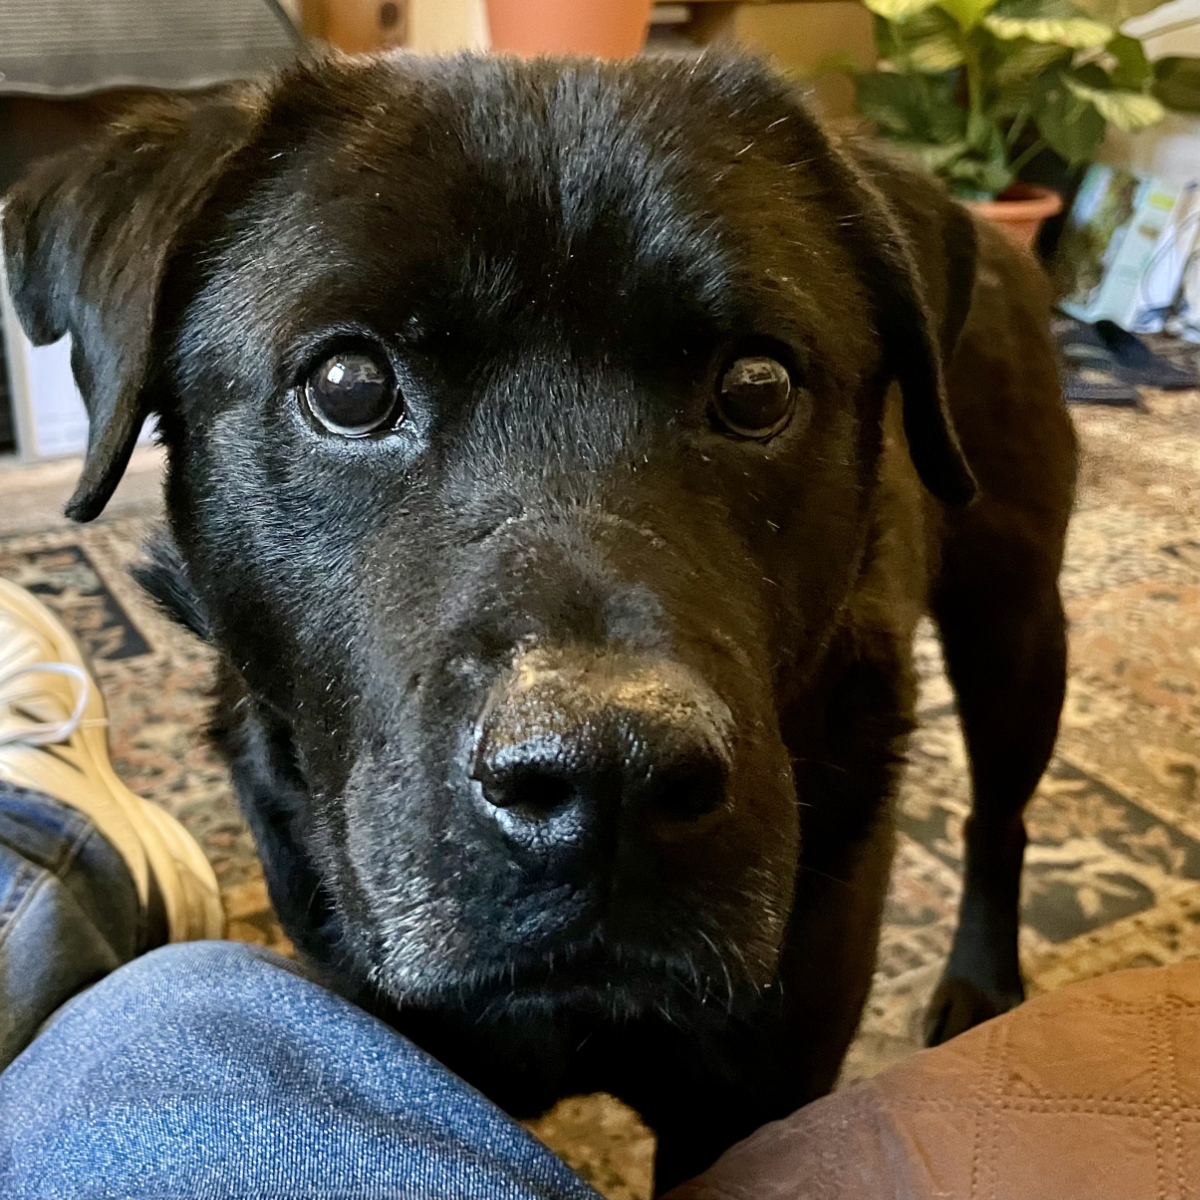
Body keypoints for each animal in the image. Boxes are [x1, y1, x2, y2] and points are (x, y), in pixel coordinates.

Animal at [4, 49, 1080, 1190]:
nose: (611, 777)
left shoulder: (751, 1098)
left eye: (758, 384)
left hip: (1017, 628)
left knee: (997, 818)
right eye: (347, 383)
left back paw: (980, 986)